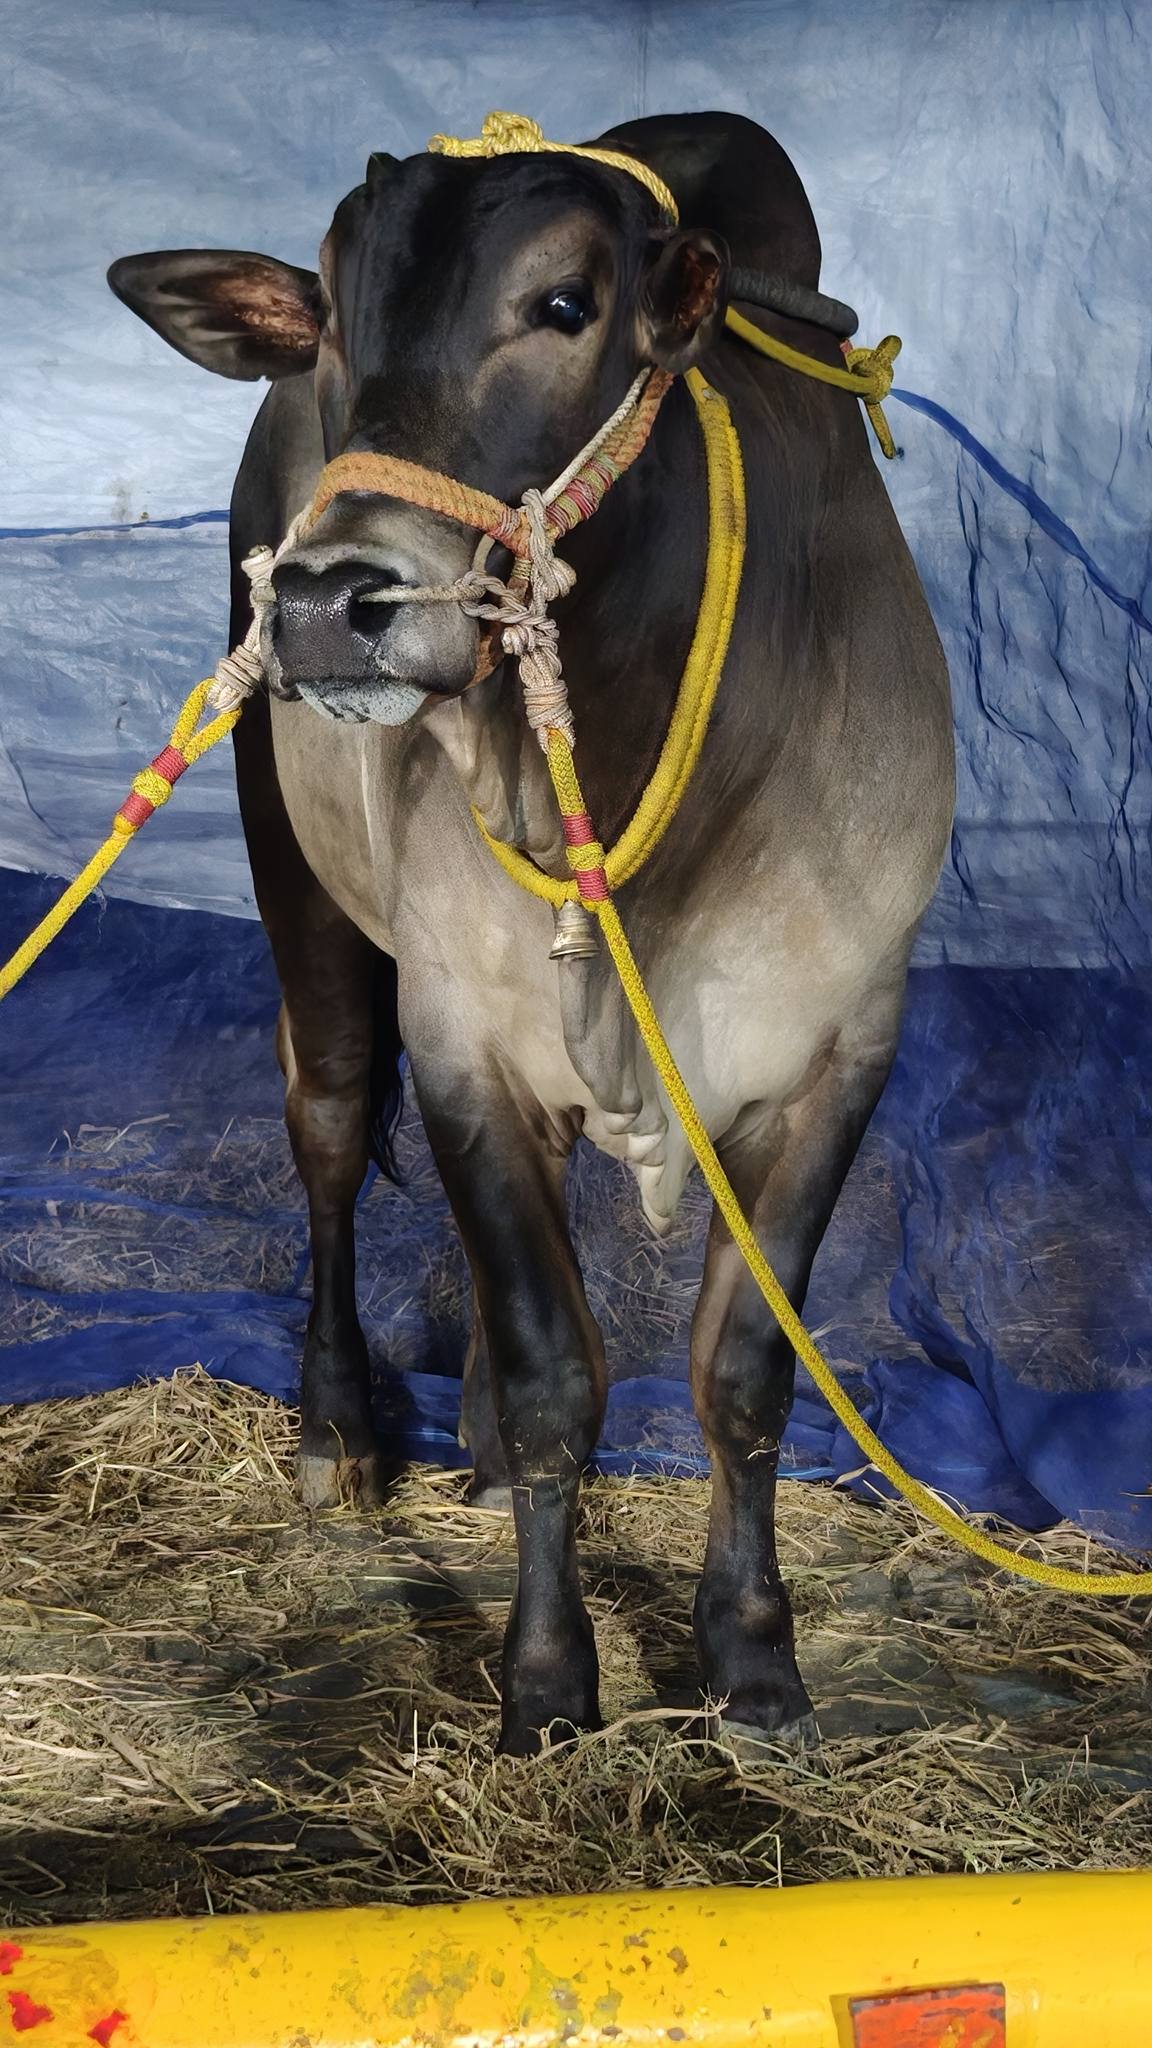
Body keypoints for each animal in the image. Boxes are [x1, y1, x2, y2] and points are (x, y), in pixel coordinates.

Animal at [108, 112, 954, 1755]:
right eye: (332, 311)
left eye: (566, 306)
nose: (326, 600)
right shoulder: (460, 1042)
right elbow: (569, 1366)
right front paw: (552, 1675)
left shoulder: (848, 1047)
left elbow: (741, 1371)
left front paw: (753, 1655)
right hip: (297, 881)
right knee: (328, 1138)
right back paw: (343, 1429)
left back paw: (483, 1446)